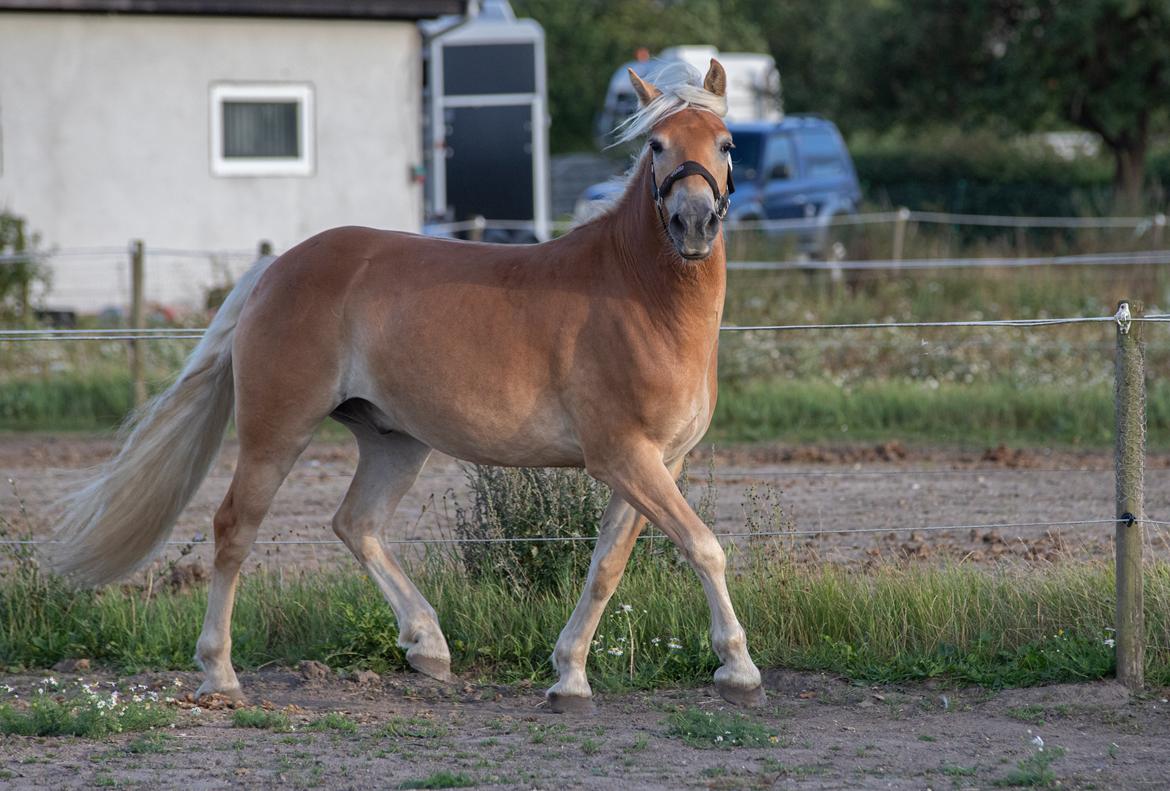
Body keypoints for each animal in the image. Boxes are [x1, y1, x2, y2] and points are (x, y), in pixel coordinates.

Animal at [47, 58, 767, 711]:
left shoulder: (656, 462)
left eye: (726, 142)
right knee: (235, 529)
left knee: (356, 523)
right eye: (656, 145)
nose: (694, 223)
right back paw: (219, 674)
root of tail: (276, 268)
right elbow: (705, 546)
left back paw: (427, 644)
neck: (639, 295)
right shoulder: (622, 456)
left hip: (395, 440)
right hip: (276, 432)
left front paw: (569, 678)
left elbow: (605, 568)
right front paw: (738, 670)